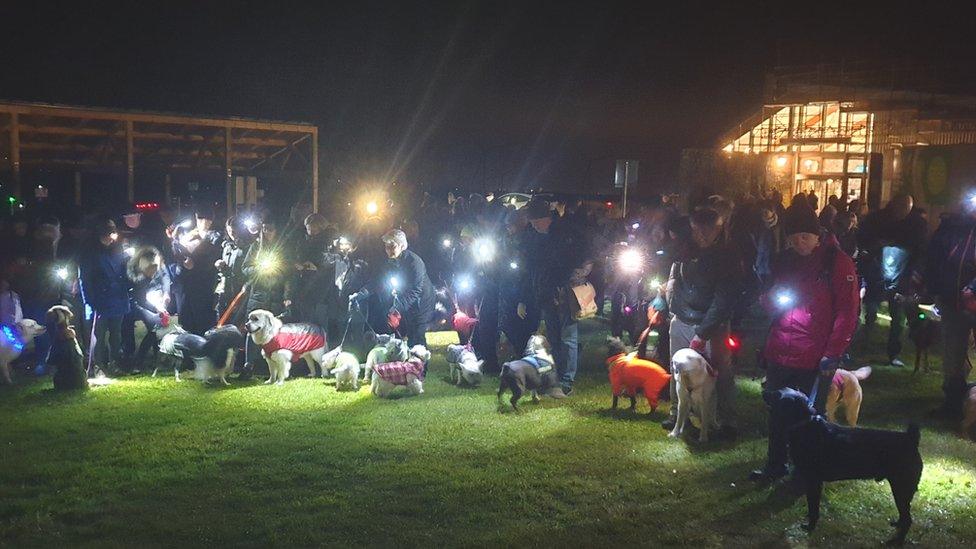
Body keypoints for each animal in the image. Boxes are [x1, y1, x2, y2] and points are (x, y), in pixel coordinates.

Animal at [768, 388, 920, 544]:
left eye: (777, 394)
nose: (764, 390)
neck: (804, 423)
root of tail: (910, 438)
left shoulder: (813, 481)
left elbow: (813, 507)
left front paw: (810, 526)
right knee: (904, 516)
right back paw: (897, 525)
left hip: (901, 489)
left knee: (908, 519)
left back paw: (897, 540)